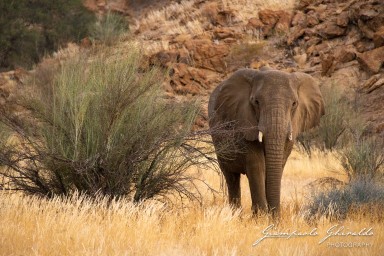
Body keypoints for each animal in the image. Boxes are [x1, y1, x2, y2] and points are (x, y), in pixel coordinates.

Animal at [207, 68, 324, 216]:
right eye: (256, 102)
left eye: (294, 104)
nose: (276, 215)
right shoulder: (245, 121)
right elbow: (257, 165)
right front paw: (260, 217)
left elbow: (276, 166)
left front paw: (271, 217)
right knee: (231, 177)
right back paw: (235, 214)